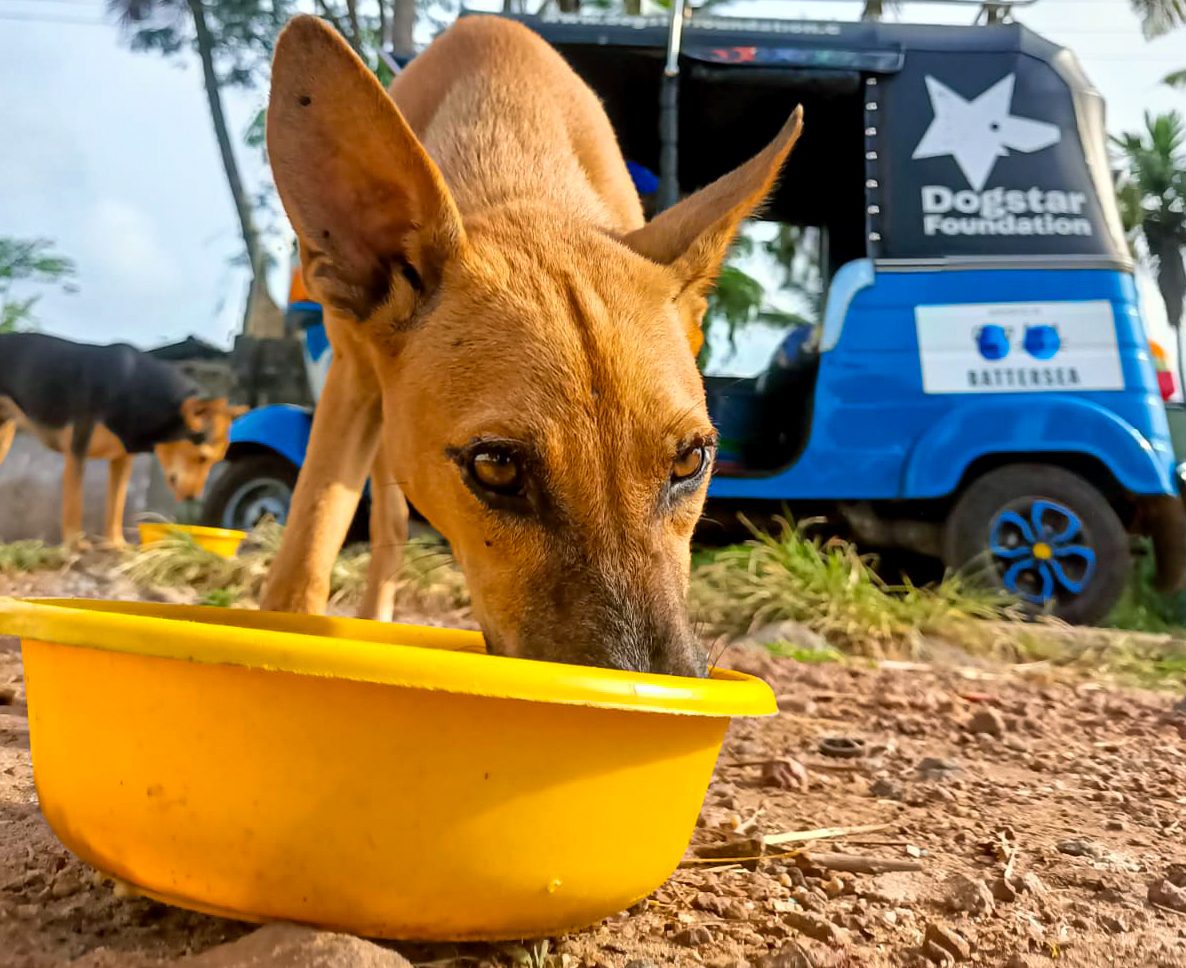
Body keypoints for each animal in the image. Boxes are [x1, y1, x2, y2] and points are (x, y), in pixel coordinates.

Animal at [0, 329, 244, 545]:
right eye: (202, 458)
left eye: (214, 461)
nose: (194, 498)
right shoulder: (77, 452)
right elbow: (74, 505)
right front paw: (75, 544)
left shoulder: (122, 460)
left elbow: (116, 505)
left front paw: (116, 543)